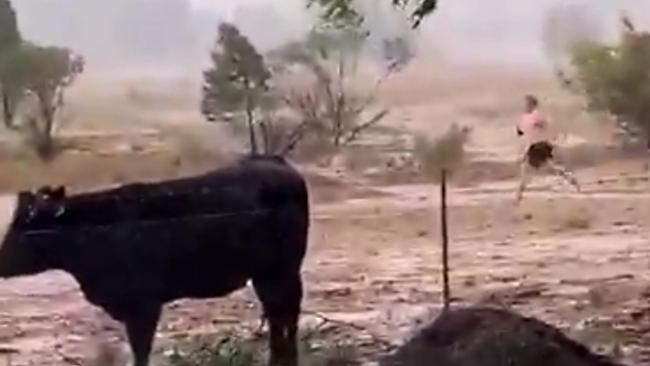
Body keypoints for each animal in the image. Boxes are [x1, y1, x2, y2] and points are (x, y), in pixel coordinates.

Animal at [0, 156, 308, 366]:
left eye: (20, 232)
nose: (1, 263)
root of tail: (274, 163)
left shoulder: (143, 304)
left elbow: (141, 349)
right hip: (265, 273)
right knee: (277, 313)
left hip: (284, 269)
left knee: (288, 311)